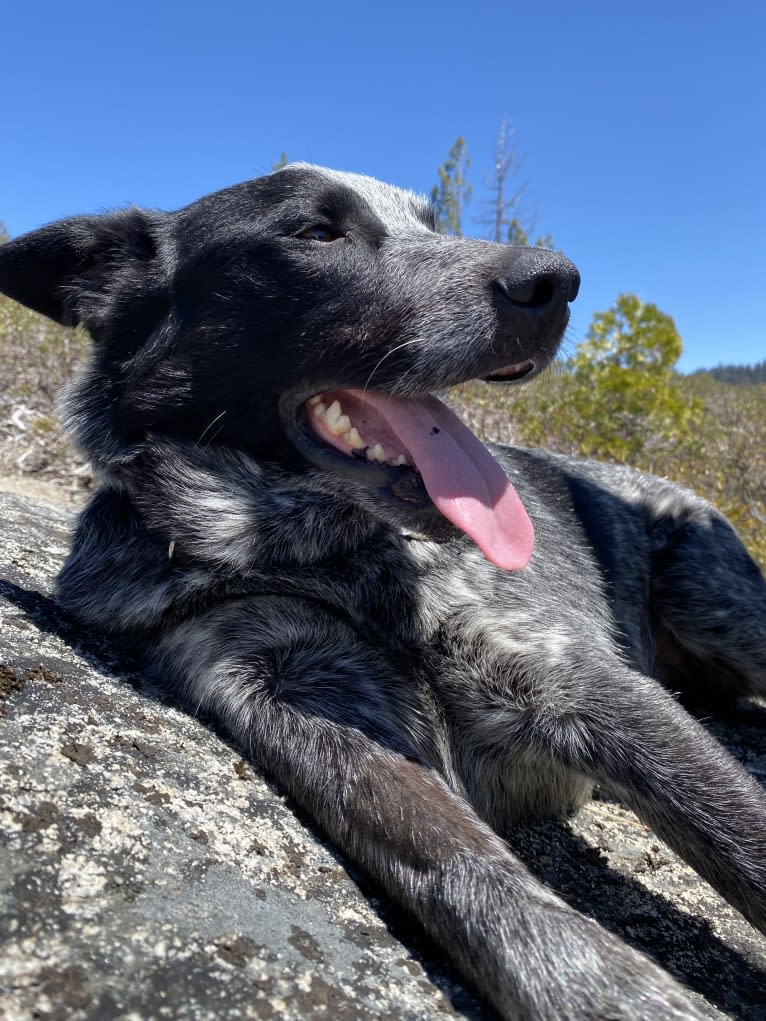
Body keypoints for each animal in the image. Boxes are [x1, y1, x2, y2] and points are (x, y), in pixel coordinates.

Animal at [1, 163, 766, 1016]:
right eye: (316, 232)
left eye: (431, 224)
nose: (556, 280)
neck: (319, 555)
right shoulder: (297, 692)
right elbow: (469, 874)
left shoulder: (578, 680)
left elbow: (743, 834)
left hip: (719, 607)